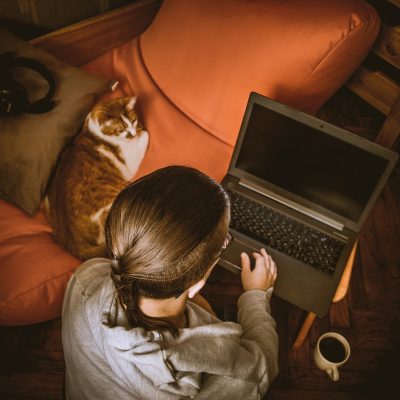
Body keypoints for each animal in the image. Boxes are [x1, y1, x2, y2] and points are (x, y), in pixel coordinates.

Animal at [43, 96, 149, 260]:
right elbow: (145, 136)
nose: (132, 134)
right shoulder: (129, 162)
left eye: (133, 120)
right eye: (121, 130)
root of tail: (75, 245)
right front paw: (142, 133)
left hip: (48, 201)